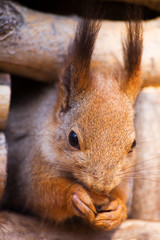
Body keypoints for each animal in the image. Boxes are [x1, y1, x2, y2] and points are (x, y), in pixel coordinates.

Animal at [1, 9, 142, 231]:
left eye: (133, 145)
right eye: (73, 138)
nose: (101, 185)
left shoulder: (125, 177)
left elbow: (121, 194)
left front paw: (117, 210)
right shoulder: (30, 165)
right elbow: (42, 194)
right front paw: (76, 195)